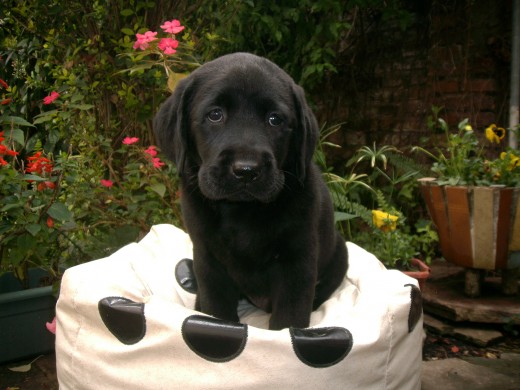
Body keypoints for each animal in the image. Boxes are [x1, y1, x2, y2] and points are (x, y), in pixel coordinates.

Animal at [154, 53, 350, 330]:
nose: (246, 170)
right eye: (215, 115)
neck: (241, 210)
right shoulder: (207, 258)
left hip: (340, 252)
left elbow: (289, 318)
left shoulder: (298, 261)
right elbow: (217, 309)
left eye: (275, 119)